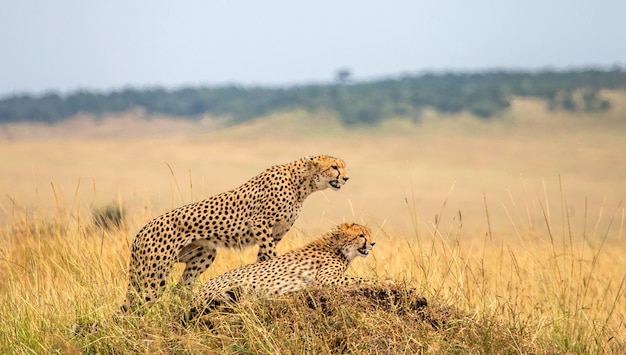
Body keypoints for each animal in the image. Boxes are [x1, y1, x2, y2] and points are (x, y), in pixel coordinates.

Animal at [121, 155, 346, 312]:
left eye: (343, 166)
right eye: (334, 167)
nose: (346, 178)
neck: (301, 183)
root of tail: (142, 231)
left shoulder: (273, 235)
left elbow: (264, 260)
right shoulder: (260, 224)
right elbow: (272, 258)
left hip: (204, 254)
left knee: (180, 287)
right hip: (154, 274)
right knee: (137, 305)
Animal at [185, 222, 370, 320]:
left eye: (368, 234)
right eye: (361, 235)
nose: (372, 244)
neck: (337, 247)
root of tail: (197, 293)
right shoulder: (325, 279)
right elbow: (363, 279)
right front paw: (378, 281)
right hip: (234, 286)